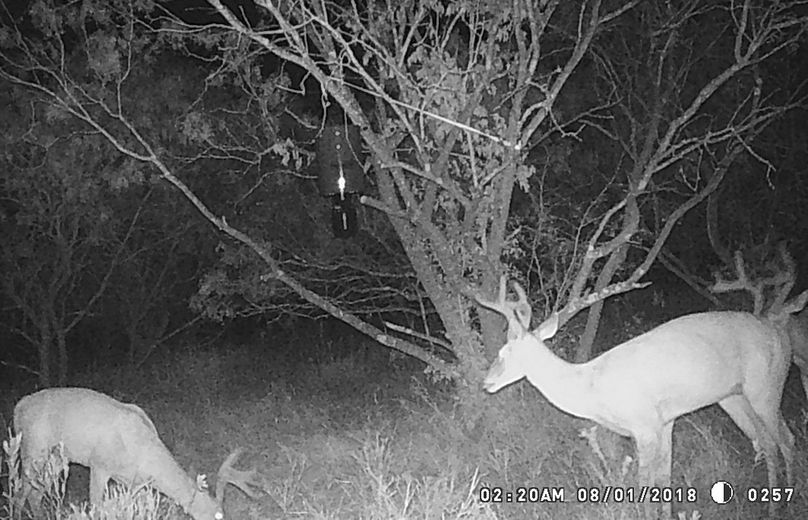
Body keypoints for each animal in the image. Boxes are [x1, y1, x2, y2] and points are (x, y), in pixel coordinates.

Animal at [13, 387, 266, 520]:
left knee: (35, 494)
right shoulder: (99, 465)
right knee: (20, 491)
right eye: (218, 516)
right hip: (33, 449)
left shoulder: (133, 482)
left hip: (56, 458)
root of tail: (19, 405)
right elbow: (96, 504)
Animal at [477, 274, 807, 518]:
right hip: (734, 398)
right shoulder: (666, 422)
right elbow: (664, 477)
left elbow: (645, 482)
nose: (486, 383)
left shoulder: (644, 425)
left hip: (765, 385)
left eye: (504, 352)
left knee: (786, 439)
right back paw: (774, 504)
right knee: (767, 442)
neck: (592, 388)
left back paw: (786, 504)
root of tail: (778, 330)